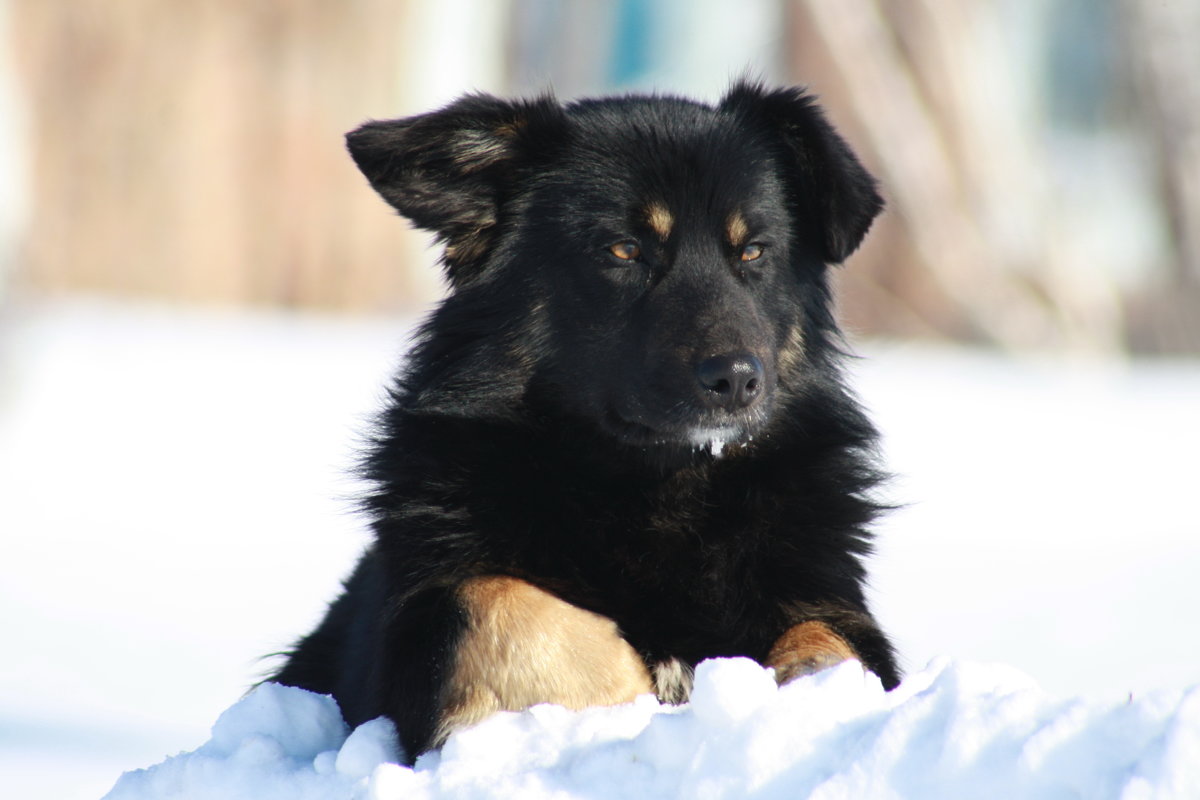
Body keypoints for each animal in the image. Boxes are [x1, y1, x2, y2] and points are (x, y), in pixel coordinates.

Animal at [276, 82, 902, 762]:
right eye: (624, 250)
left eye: (754, 251)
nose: (737, 381)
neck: (657, 487)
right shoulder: (421, 625)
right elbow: (499, 598)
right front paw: (627, 699)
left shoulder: (825, 591)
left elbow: (832, 643)